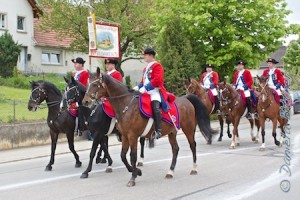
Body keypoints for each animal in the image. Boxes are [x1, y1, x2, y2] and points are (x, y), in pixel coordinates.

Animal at [85, 74, 217, 188]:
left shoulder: (132, 136)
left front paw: (133, 177)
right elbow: (123, 156)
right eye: (88, 83)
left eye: (95, 85)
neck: (126, 105)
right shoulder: (124, 136)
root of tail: (186, 99)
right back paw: (170, 171)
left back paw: (194, 168)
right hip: (172, 132)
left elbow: (133, 156)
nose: (85, 101)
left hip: (188, 128)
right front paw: (136, 171)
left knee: (192, 146)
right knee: (175, 149)